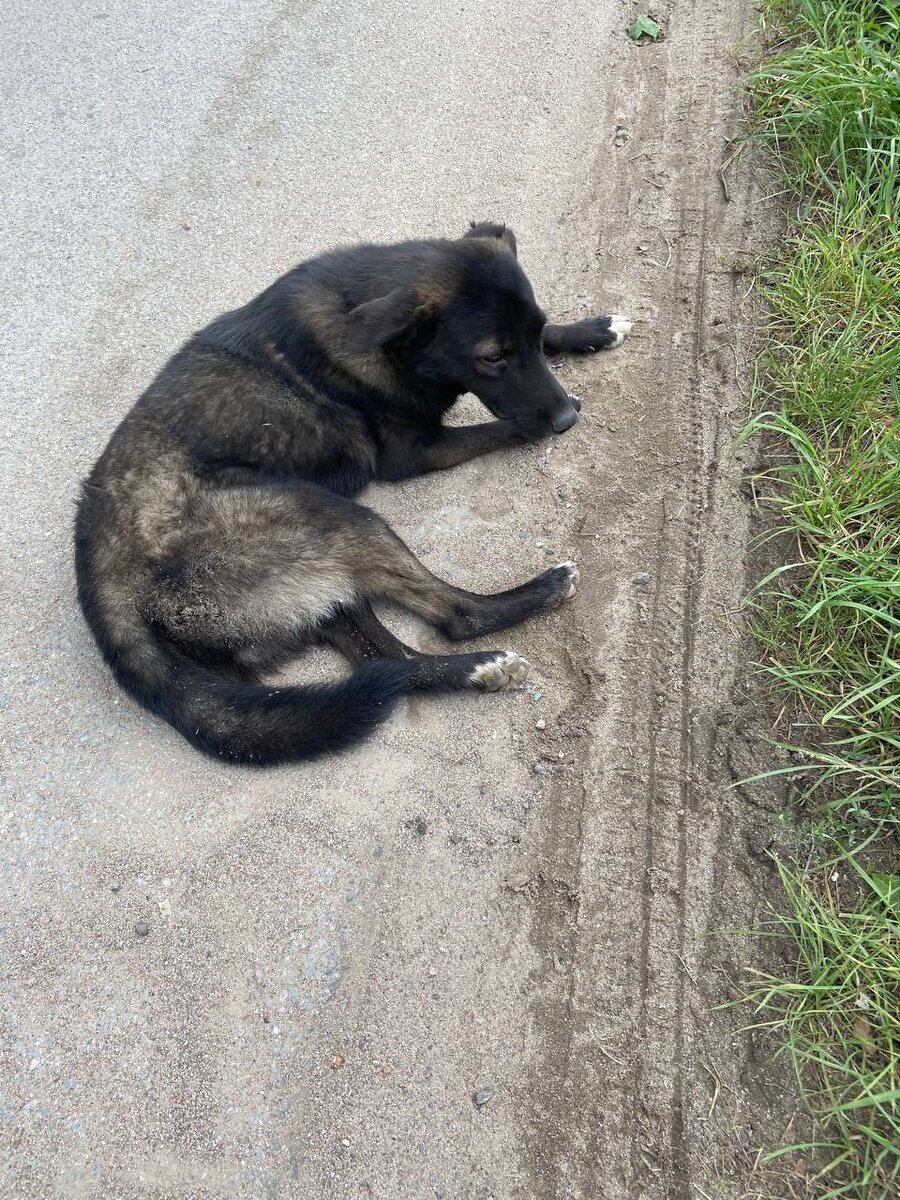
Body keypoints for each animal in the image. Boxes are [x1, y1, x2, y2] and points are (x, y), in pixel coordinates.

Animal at [74, 222, 628, 763]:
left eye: (533, 334)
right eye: (491, 357)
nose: (566, 418)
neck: (363, 316)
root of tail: (106, 588)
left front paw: (595, 329)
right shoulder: (415, 452)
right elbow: (505, 427)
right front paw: (549, 413)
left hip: (323, 589)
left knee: (389, 661)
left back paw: (471, 671)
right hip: (335, 516)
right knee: (457, 616)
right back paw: (533, 604)